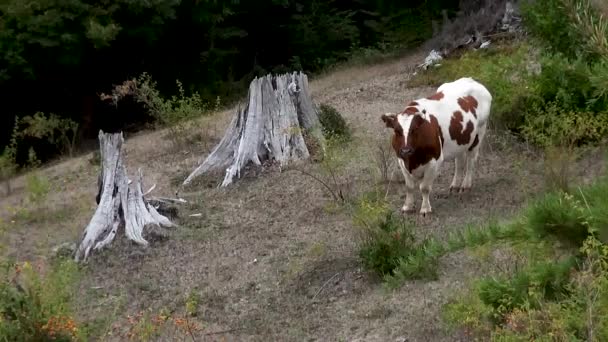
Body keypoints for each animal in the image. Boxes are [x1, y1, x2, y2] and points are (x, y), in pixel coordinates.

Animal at [382, 77, 492, 216]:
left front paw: (425, 209)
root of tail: (470, 80)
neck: (413, 160)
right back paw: (455, 185)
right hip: (460, 140)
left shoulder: (434, 161)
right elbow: (409, 187)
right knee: (459, 162)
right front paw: (407, 207)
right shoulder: (401, 160)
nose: (406, 150)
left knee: (471, 161)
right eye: (397, 131)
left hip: (479, 133)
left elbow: (424, 187)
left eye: (415, 129)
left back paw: (466, 185)